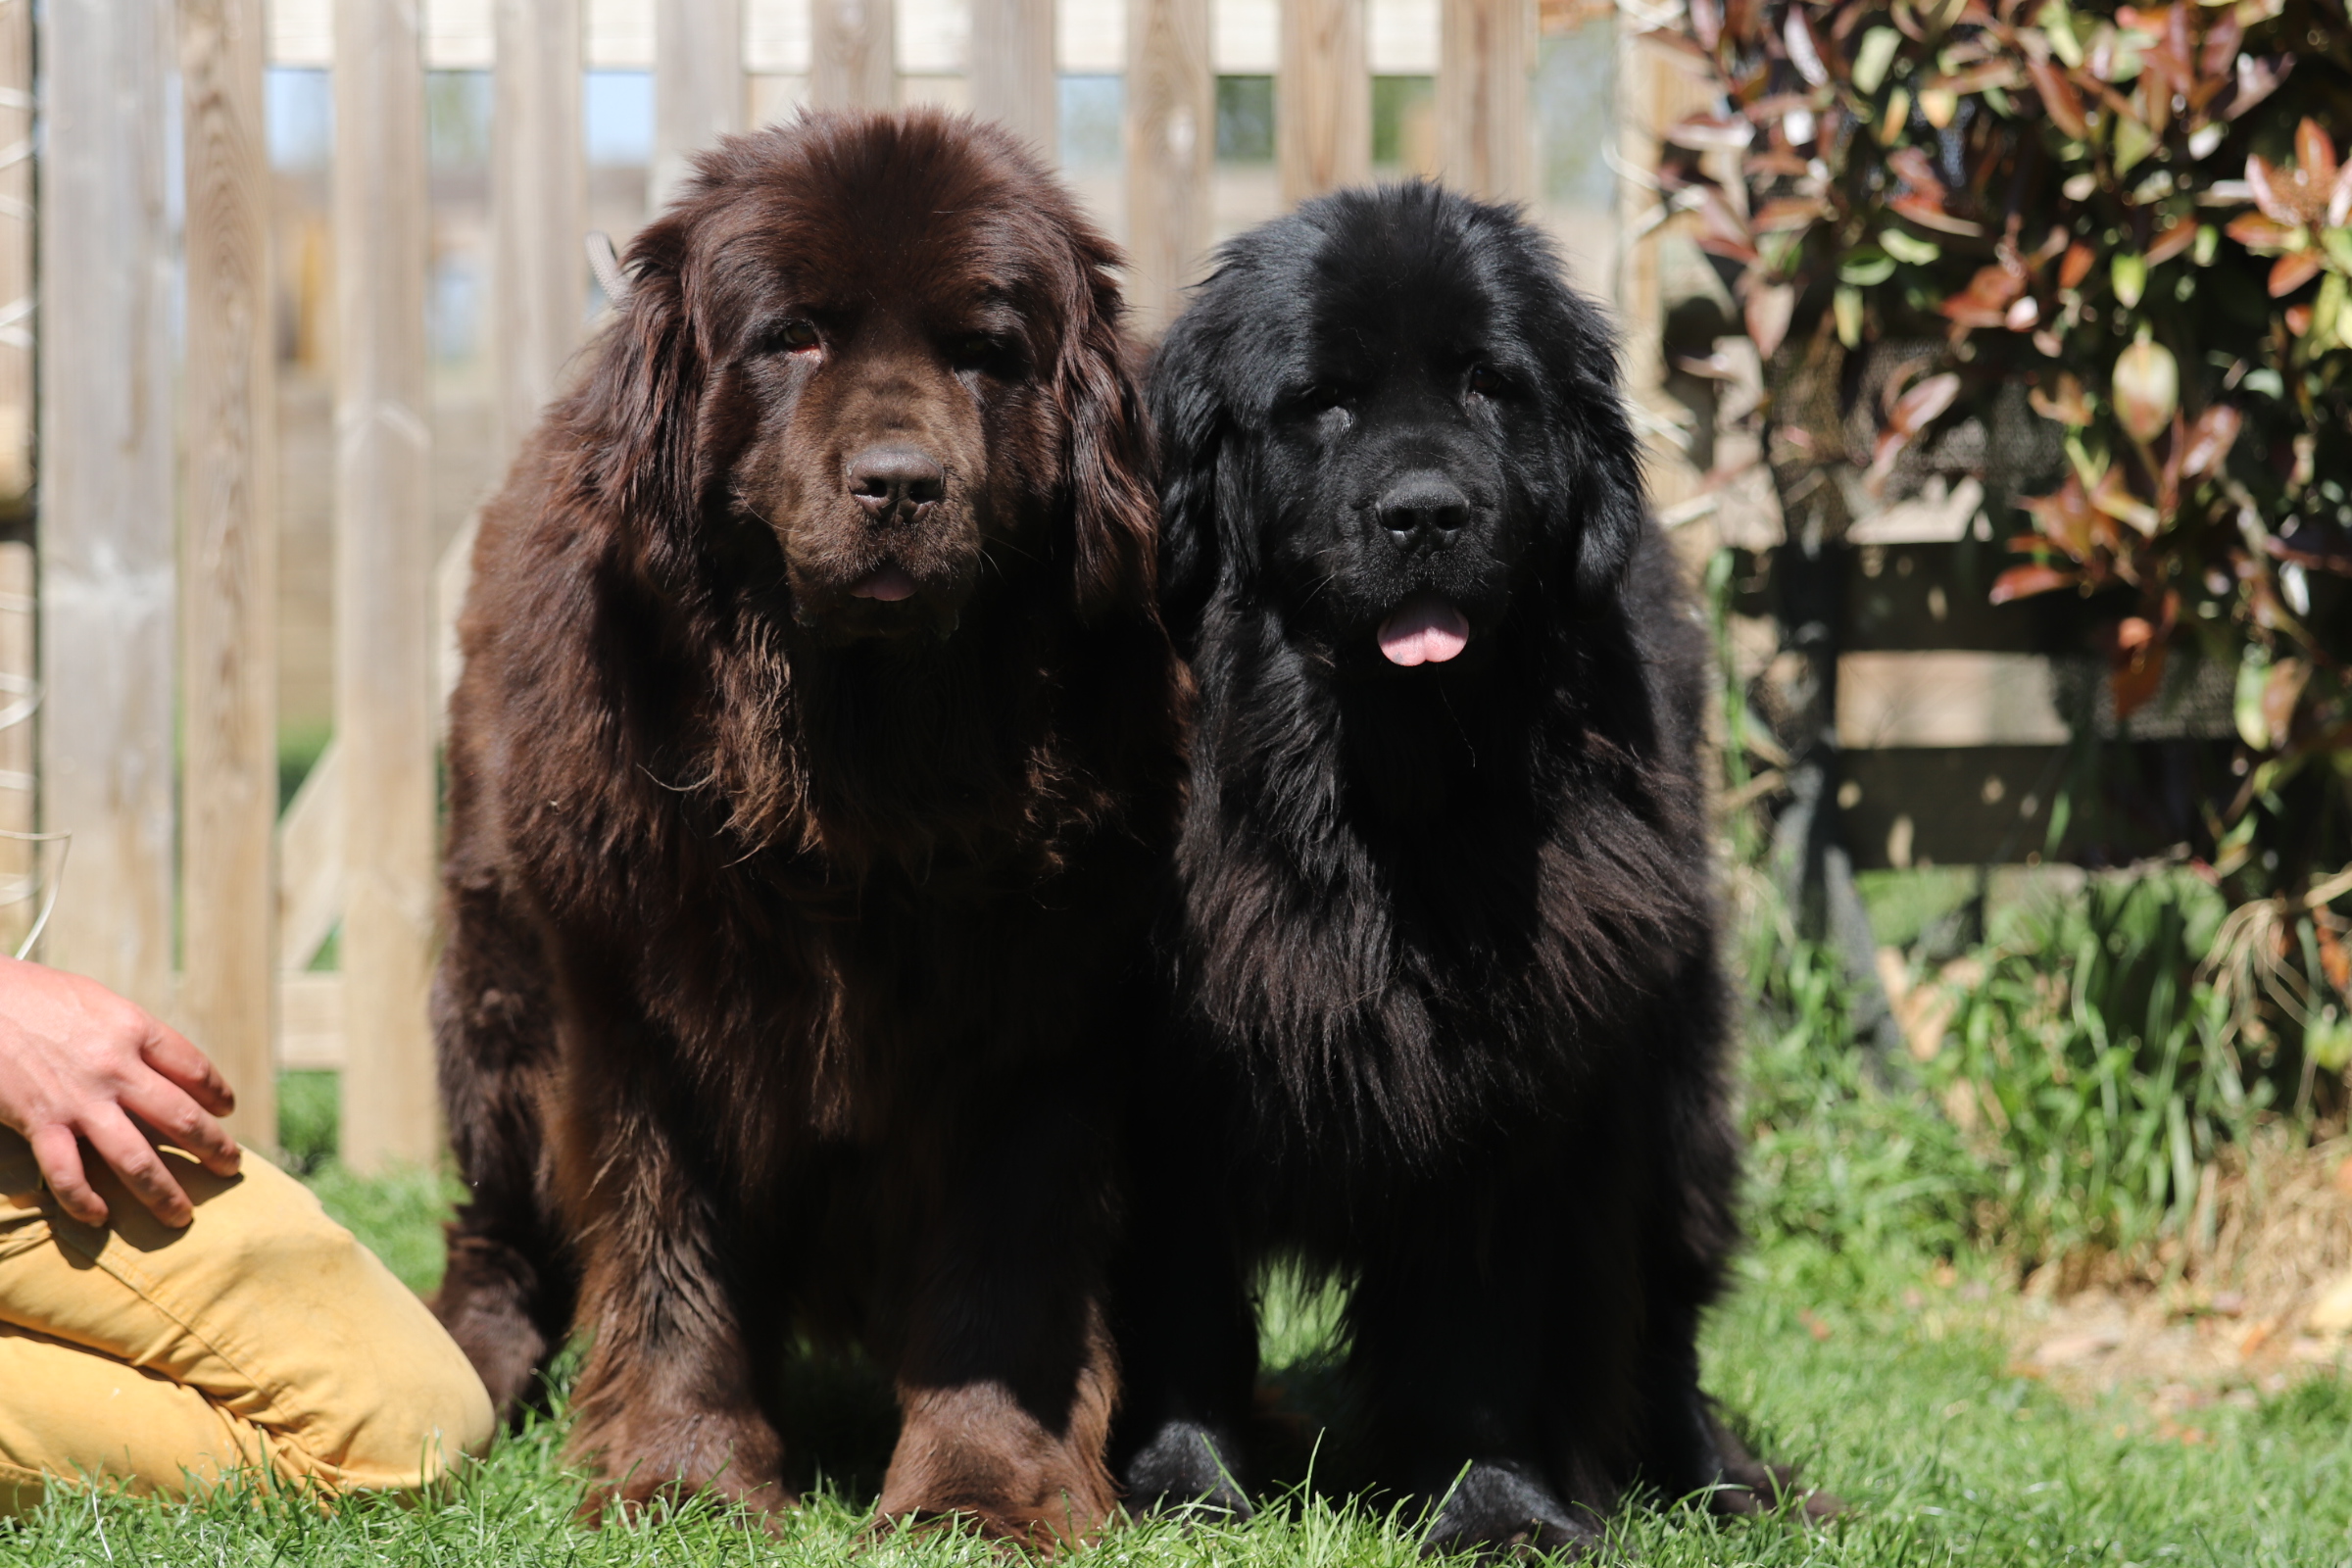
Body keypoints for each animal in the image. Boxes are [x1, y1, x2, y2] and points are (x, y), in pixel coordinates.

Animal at [432, 113, 1185, 1542]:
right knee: (493, 1224)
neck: (856, 778)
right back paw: (468, 1373)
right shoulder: (641, 1009)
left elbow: (1005, 1268)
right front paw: (682, 1476)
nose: (899, 485)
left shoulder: (1045, 1019)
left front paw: (980, 1492)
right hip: (497, 990)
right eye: (791, 338)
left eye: (984, 351)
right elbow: (671, 1254)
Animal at [1109, 180, 1806, 1542]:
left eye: (1491, 386)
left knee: (1666, 1314)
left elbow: (1484, 1330)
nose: (1425, 510)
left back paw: (1720, 1481)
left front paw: (1499, 1509)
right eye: (1323, 401)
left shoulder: (1521, 1080)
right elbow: (1178, 1302)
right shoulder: (1160, 1082)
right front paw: (1181, 1486)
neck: (1379, 804)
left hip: (1671, 1093)